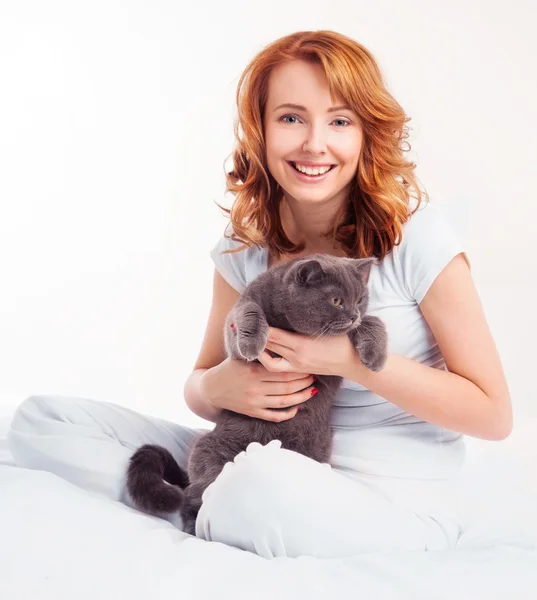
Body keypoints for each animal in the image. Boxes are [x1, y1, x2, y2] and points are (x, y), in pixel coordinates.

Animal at [124, 253, 386, 536]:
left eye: (360, 299)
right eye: (336, 300)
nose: (353, 315)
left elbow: (375, 321)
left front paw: (376, 358)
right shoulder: (238, 321)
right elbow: (249, 311)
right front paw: (251, 343)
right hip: (208, 453)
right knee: (195, 498)